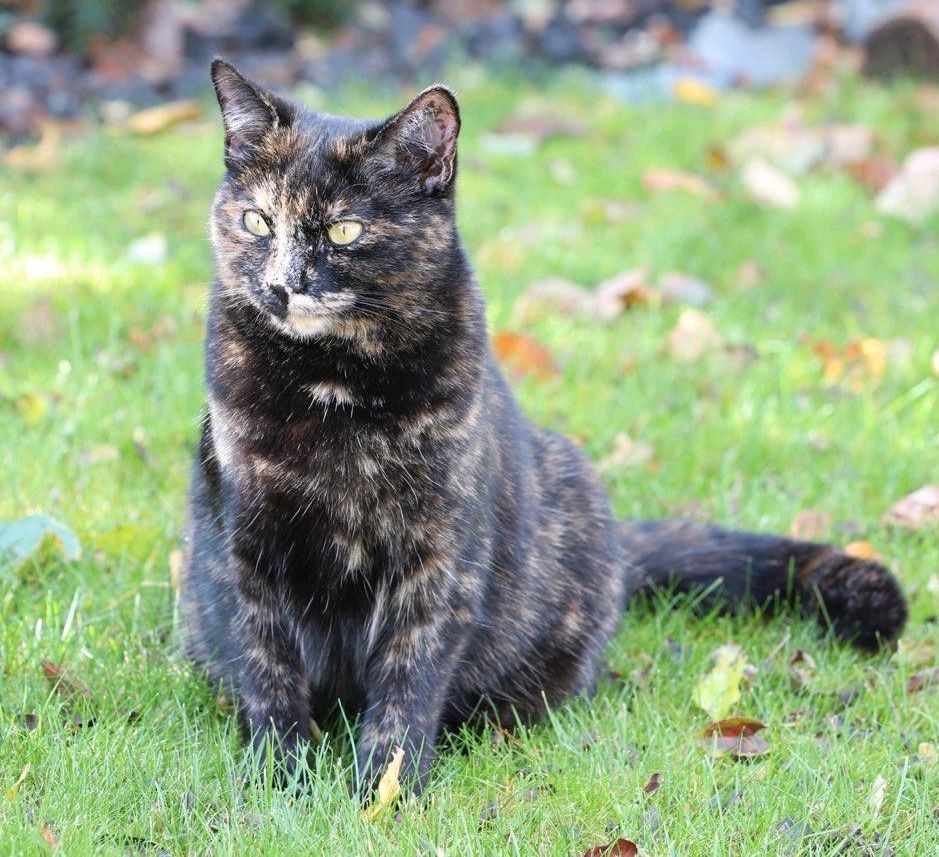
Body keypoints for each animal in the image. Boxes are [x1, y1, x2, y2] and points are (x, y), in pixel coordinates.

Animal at [178, 60, 912, 796]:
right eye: (257, 220)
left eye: (343, 232)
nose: (280, 285)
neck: (332, 388)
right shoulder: (245, 546)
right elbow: (269, 670)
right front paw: (283, 780)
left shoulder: (440, 555)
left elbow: (409, 680)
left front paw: (383, 791)